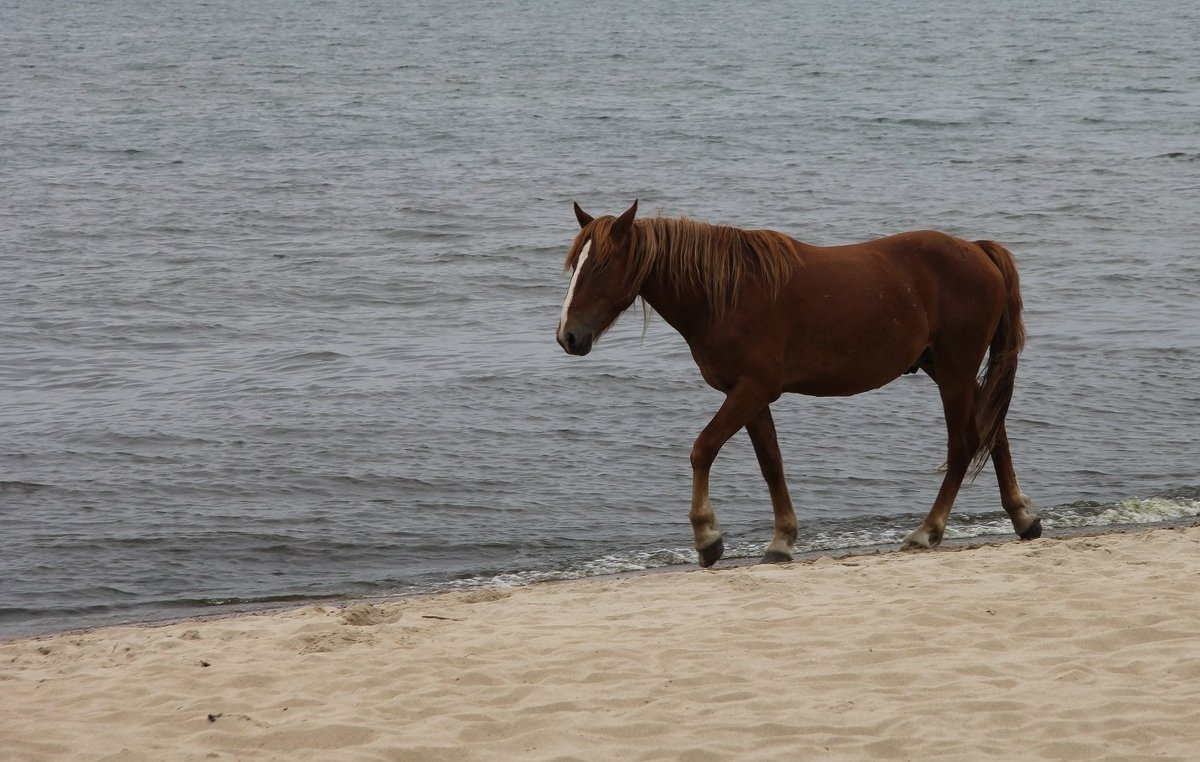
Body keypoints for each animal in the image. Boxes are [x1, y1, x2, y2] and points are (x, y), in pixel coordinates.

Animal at [556, 199, 1036, 568]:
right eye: (575, 266)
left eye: (600, 266)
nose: (568, 336)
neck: (725, 294)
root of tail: (977, 250)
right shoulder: (748, 395)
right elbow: (771, 464)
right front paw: (782, 539)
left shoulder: (752, 390)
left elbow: (702, 449)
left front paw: (707, 538)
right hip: (944, 367)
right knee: (994, 433)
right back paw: (1023, 517)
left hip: (955, 368)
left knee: (964, 443)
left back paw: (927, 530)